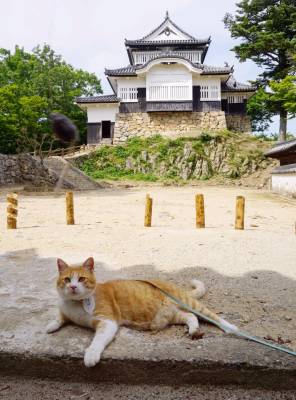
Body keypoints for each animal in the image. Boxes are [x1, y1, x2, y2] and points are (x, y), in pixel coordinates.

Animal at [46, 258, 238, 368]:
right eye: (67, 279)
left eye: (81, 279)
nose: (73, 287)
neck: (76, 304)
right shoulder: (65, 310)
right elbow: (60, 316)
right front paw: (51, 325)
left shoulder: (107, 322)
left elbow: (97, 341)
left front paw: (91, 355)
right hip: (171, 315)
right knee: (190, 317)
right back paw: (193, 330)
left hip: (192, 305)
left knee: (213, 316)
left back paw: (231, 328)